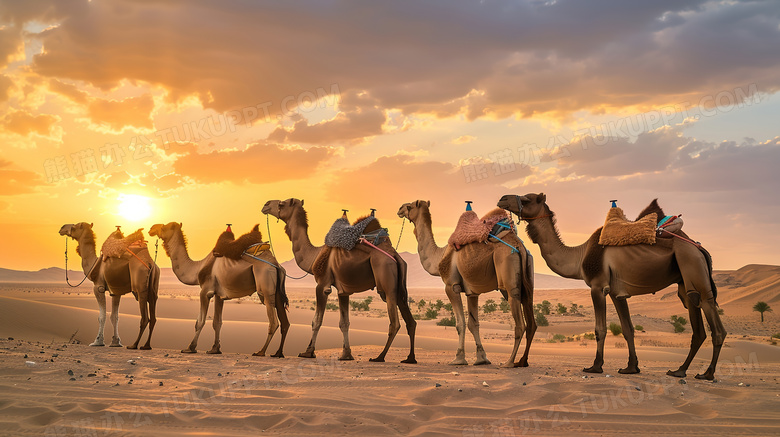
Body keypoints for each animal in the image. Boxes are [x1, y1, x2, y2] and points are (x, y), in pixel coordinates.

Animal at [149, 223, 290, 356]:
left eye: (165, 227)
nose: (152, 229)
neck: (198, 268)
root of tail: (275, 265)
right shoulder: (218, 294)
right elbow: (217, 322)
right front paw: (215, 349)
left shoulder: (205, 291)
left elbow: (200, 321)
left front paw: (190, 348)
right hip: (276, 291)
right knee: (285, 322)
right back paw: (278, 353)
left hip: (265, 285)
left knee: (273, 321)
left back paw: (261, 352)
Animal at [262, 198, 418, 362]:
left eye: (282, 204)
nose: (266, 205)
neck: (314, 256)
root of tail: (394, 255)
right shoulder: (343, 291)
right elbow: (344, 323)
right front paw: (346, 354)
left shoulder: (322, 285)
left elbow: (316, 321)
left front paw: (308, 352)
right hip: (398, 286)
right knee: (411, 322)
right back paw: (410, 358)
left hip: (386, 280)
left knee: (395, 323)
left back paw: (379, 357)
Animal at [396, 200, 536, 364]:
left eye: (410, 206)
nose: (399, 209)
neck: (439, 256)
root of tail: (520, 247)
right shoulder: (472, 292)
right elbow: (473, 324)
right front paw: (482, 359)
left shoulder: (451, 286)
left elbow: (460, 323)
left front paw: (458, 358)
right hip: (527, 279)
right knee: (531, 321)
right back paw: (522, 362)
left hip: (508, 279)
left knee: (520, 323)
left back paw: (509, 362)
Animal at [496, 192, 728, 380]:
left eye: (528, 199)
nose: (502, 199)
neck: (579, 255)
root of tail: (699, 248)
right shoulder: (617, 293)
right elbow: (627, 329)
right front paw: (631, 368)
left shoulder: (598, 287)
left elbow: (600, 329)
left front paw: (595, 366)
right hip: (685, 281)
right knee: (698, 326)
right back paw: (679, 370)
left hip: (693, 266)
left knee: (714, 323)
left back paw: (707, 374)